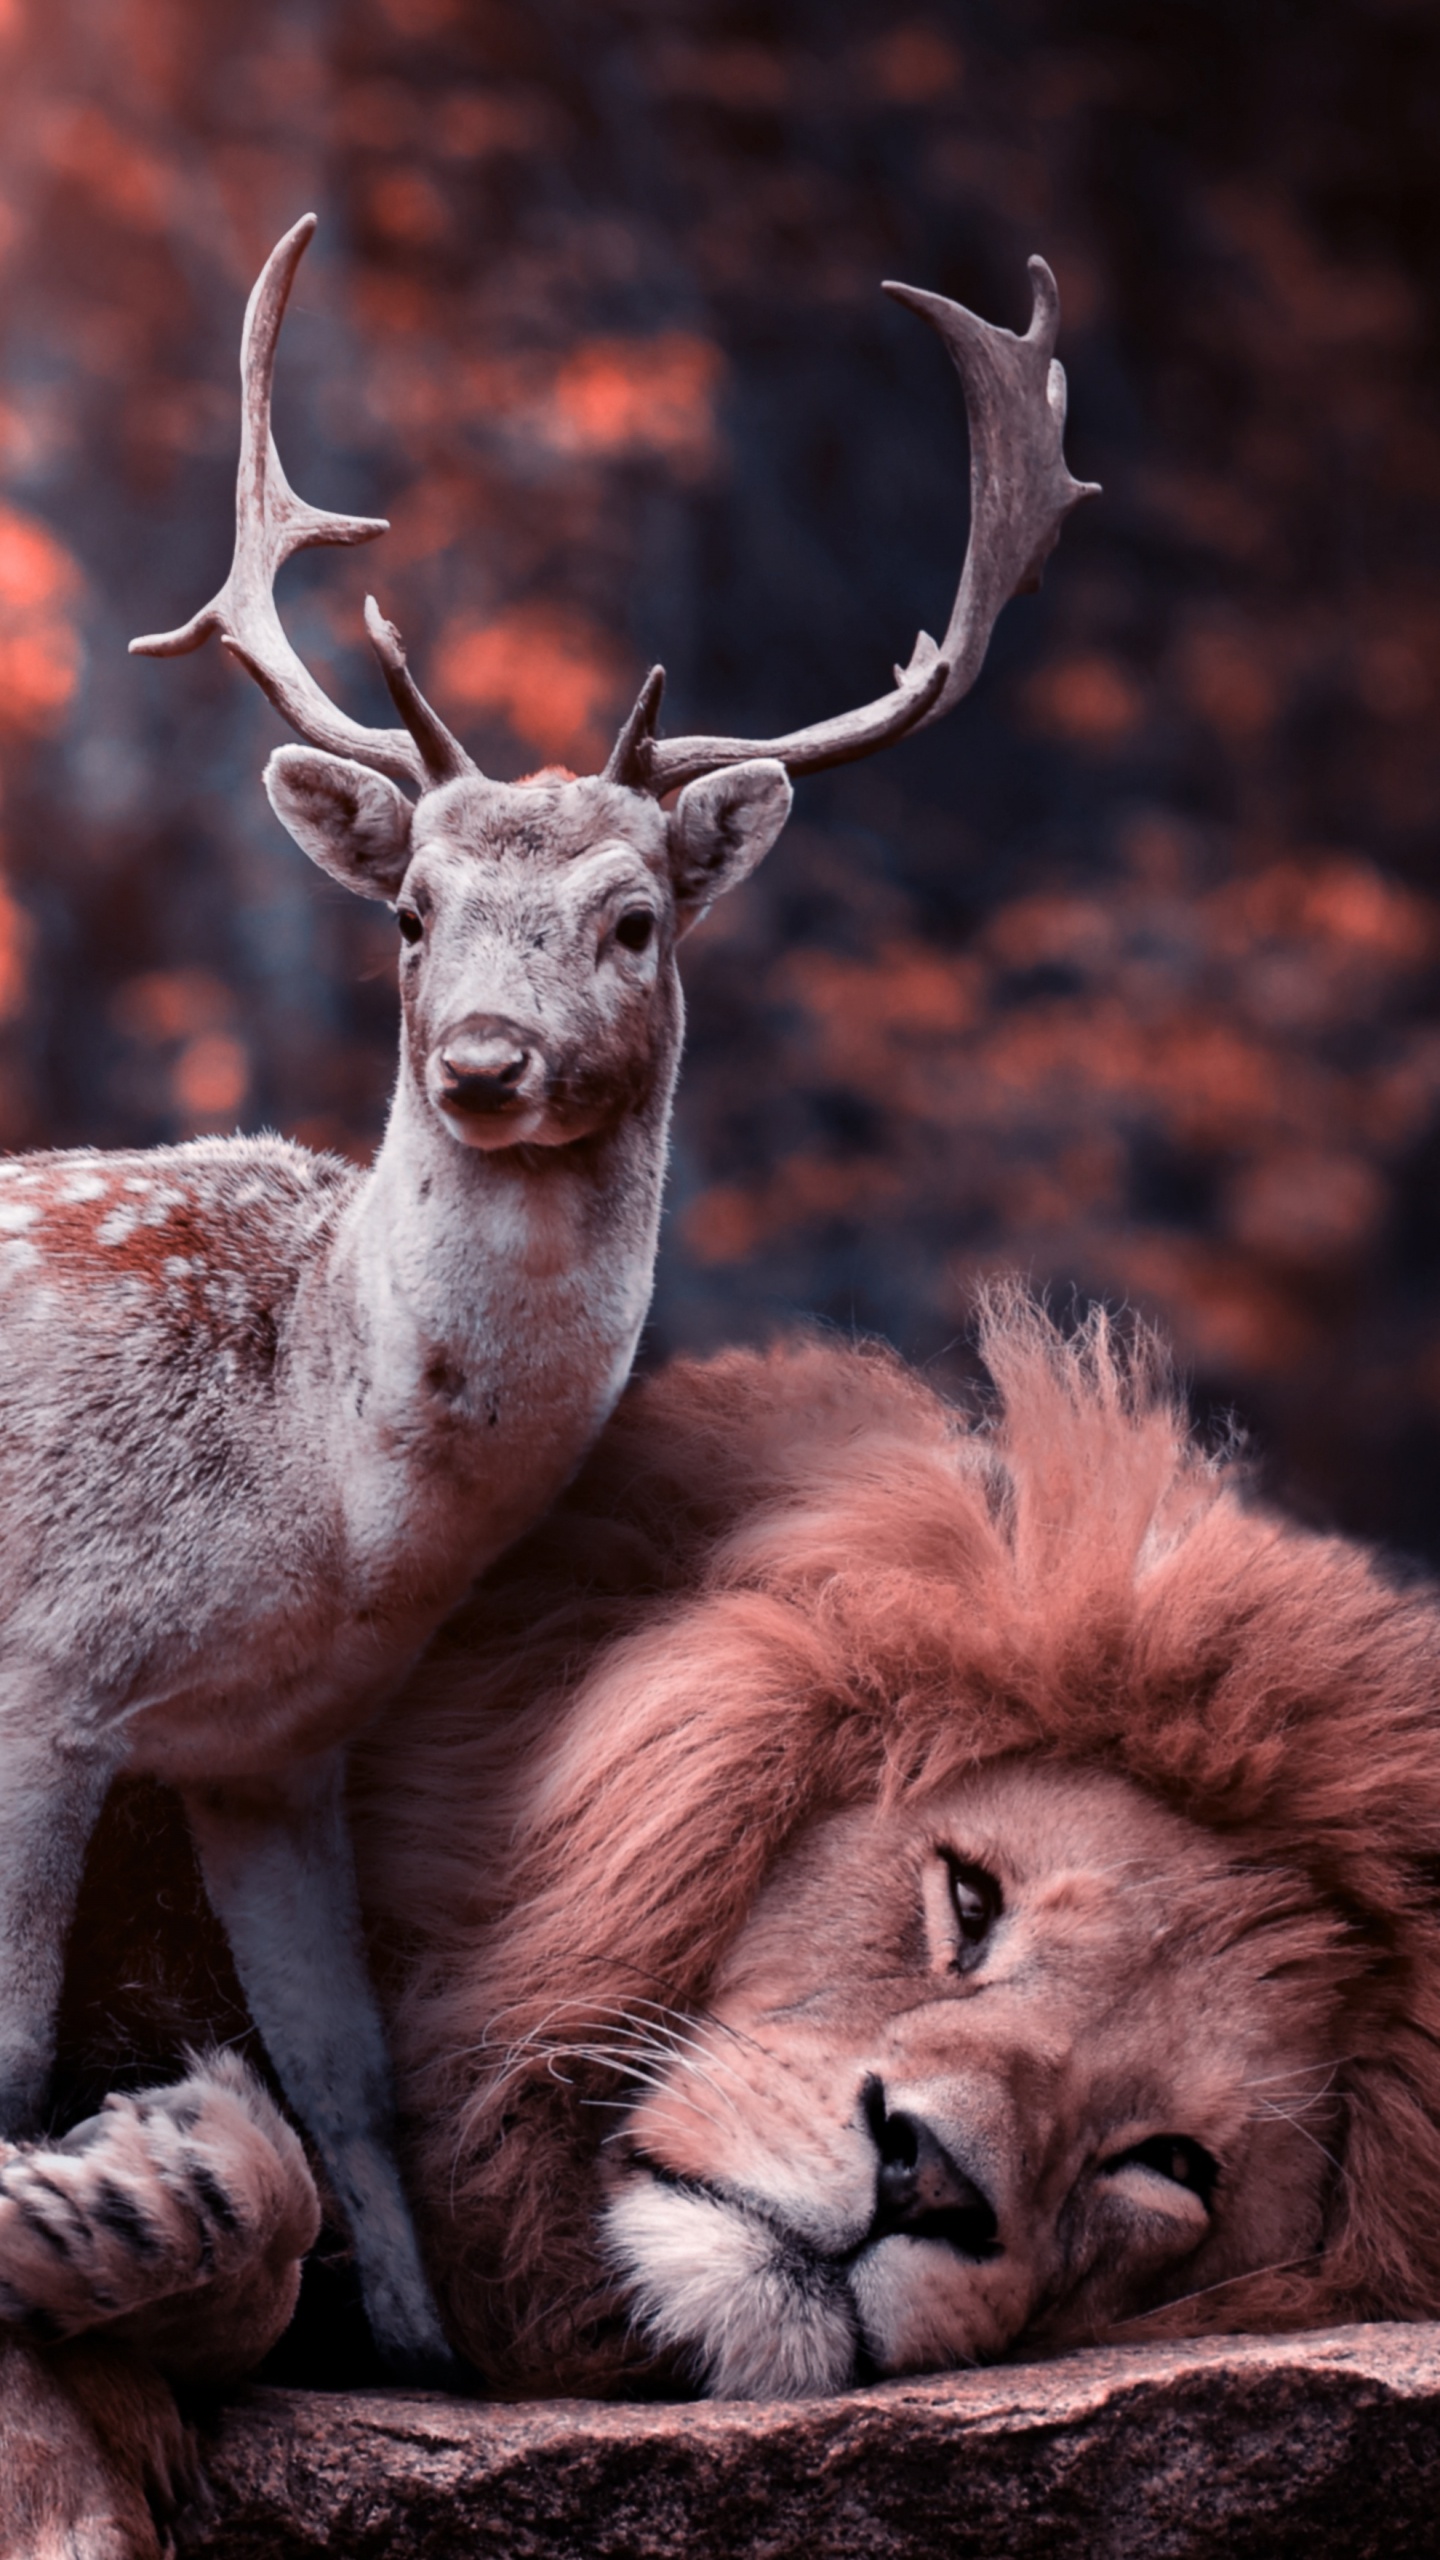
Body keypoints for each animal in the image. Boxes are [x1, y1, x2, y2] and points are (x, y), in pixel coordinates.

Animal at [0, 209, 1086, 2385]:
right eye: (413, 911)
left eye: (637, 915)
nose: (486, 1062)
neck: (320, 1503)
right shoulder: (43, 1672)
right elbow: (7, 2040)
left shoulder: (274, 1745)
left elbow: (347, 2075)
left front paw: (424, 2350)